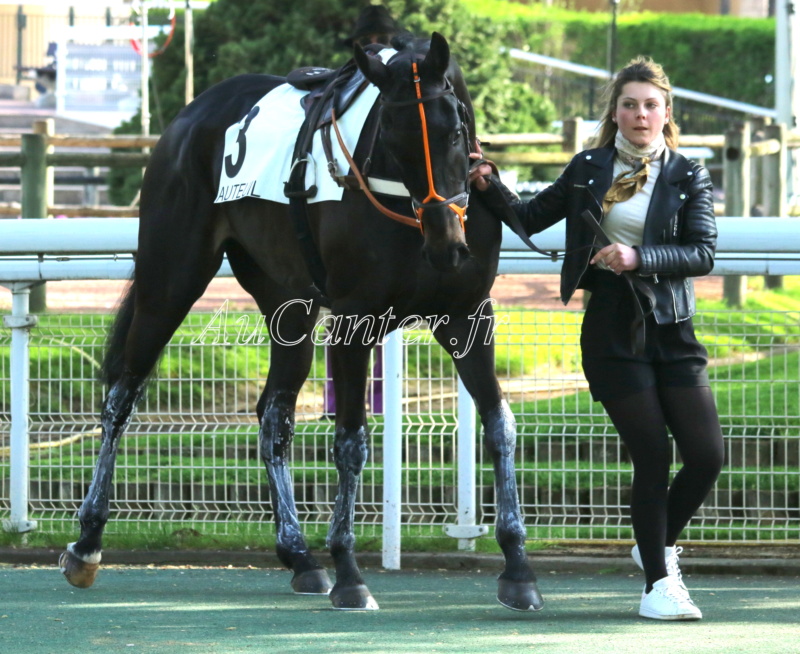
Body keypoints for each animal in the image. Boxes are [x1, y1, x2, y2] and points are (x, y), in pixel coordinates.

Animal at [57, 32, 544, 616]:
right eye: (392, 138)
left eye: (453, 131)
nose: (447, 244)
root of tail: (190, 115)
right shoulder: (357, 320)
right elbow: (351, 440)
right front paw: (350, 572)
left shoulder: (468, 315)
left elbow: (499, 424)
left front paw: (518, 568)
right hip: (169, 278)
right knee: (121, 397)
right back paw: (87, 541)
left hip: (288, 304)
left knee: (274, 414)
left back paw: (299, 555)